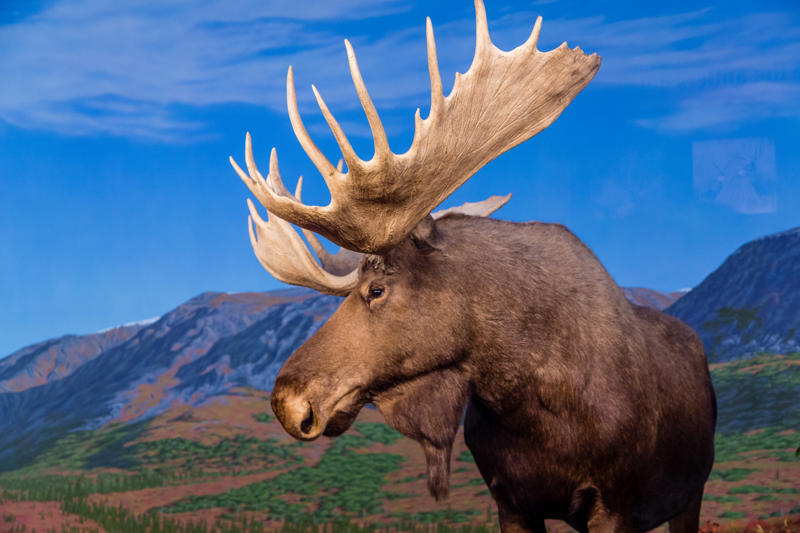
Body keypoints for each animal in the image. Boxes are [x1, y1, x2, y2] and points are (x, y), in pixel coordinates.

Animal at [229, 2, 717, 531]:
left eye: (377, 289)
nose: (287, 401)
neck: (531, 399)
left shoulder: (614, 505)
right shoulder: (510, 501)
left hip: (690, 494)